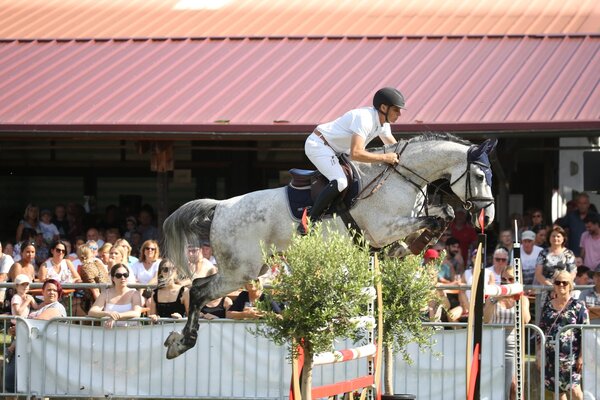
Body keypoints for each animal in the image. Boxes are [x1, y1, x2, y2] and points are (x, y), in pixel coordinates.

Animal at [162, 133, 496, 359]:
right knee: (199, 291)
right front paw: (404, 249)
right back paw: (182, 343)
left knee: (199, 286)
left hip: (248, 268)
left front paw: (405, 249)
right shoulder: (382, 228)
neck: (402, 178)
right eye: (481, 175)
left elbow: (444, 214)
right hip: (240, 271)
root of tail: (220, 207)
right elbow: (435, 220)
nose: (489, 217)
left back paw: (179, 340)